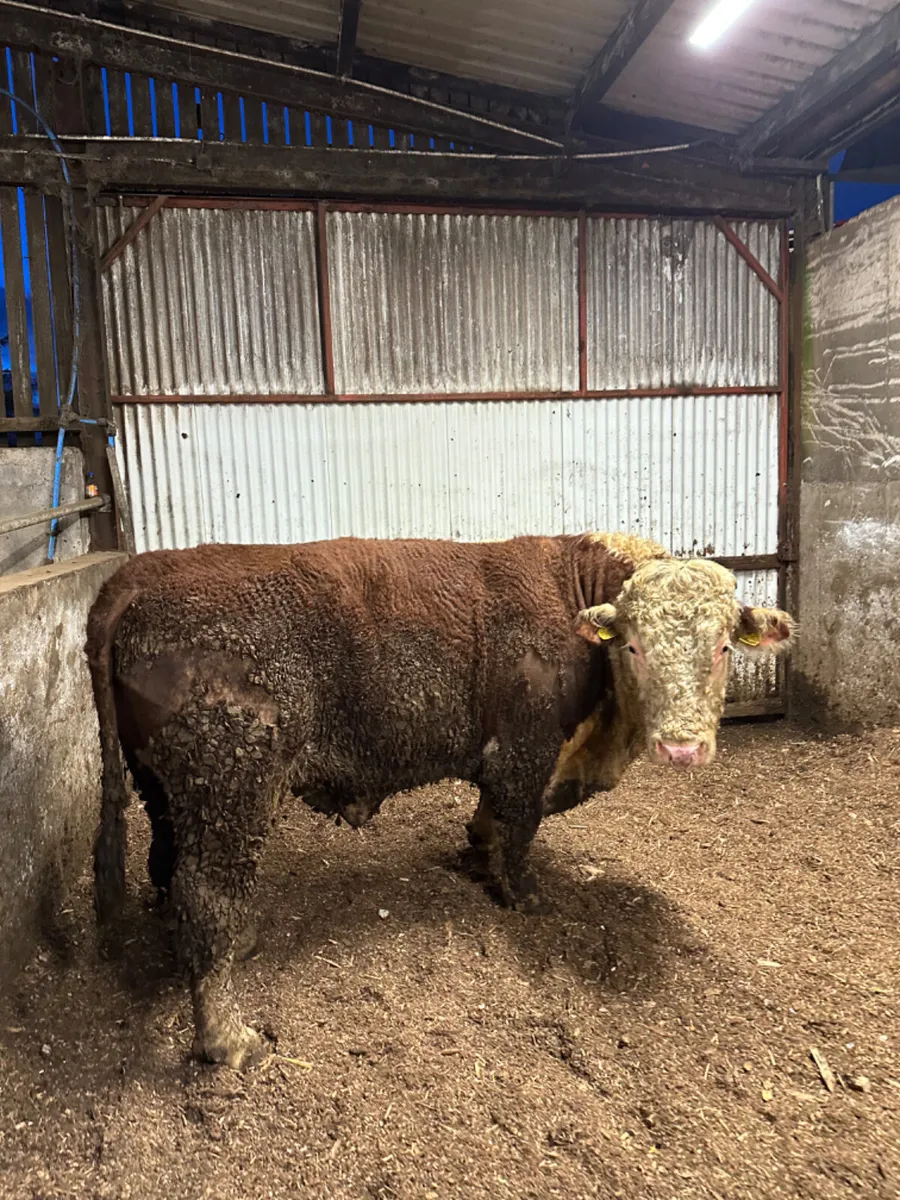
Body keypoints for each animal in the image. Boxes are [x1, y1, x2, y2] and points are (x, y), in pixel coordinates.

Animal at [87, 532, 793, 1069]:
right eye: (634, 645)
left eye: (722, 647)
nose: (681, 746)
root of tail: (143, 571)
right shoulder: (525, 749)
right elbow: (519, 826)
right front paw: (523, 896)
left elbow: (492, 820)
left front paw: (477, 853)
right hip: (234, 782)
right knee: (206, 891)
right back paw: (228, 1036)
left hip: (165, 787)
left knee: (167, 868)